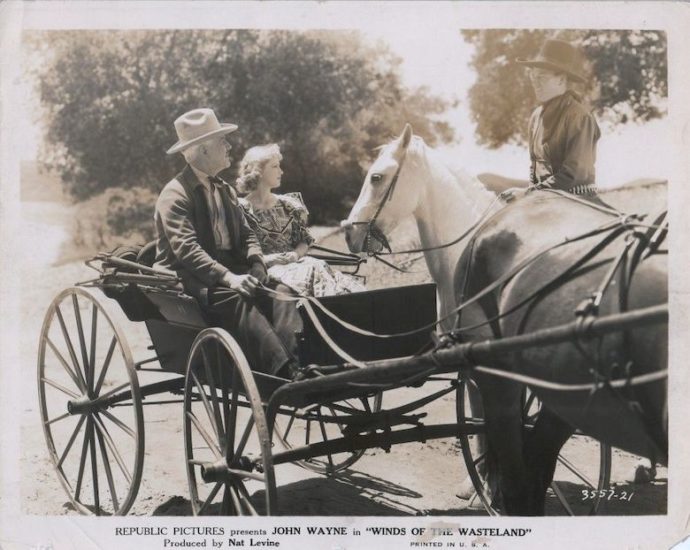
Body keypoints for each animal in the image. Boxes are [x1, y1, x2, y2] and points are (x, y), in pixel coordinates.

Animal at [344, 125, 668, 516]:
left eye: (377, 177)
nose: (349, 233)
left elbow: (486, 424)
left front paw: (482, 485)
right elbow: (482, 422)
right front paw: (479, 484)